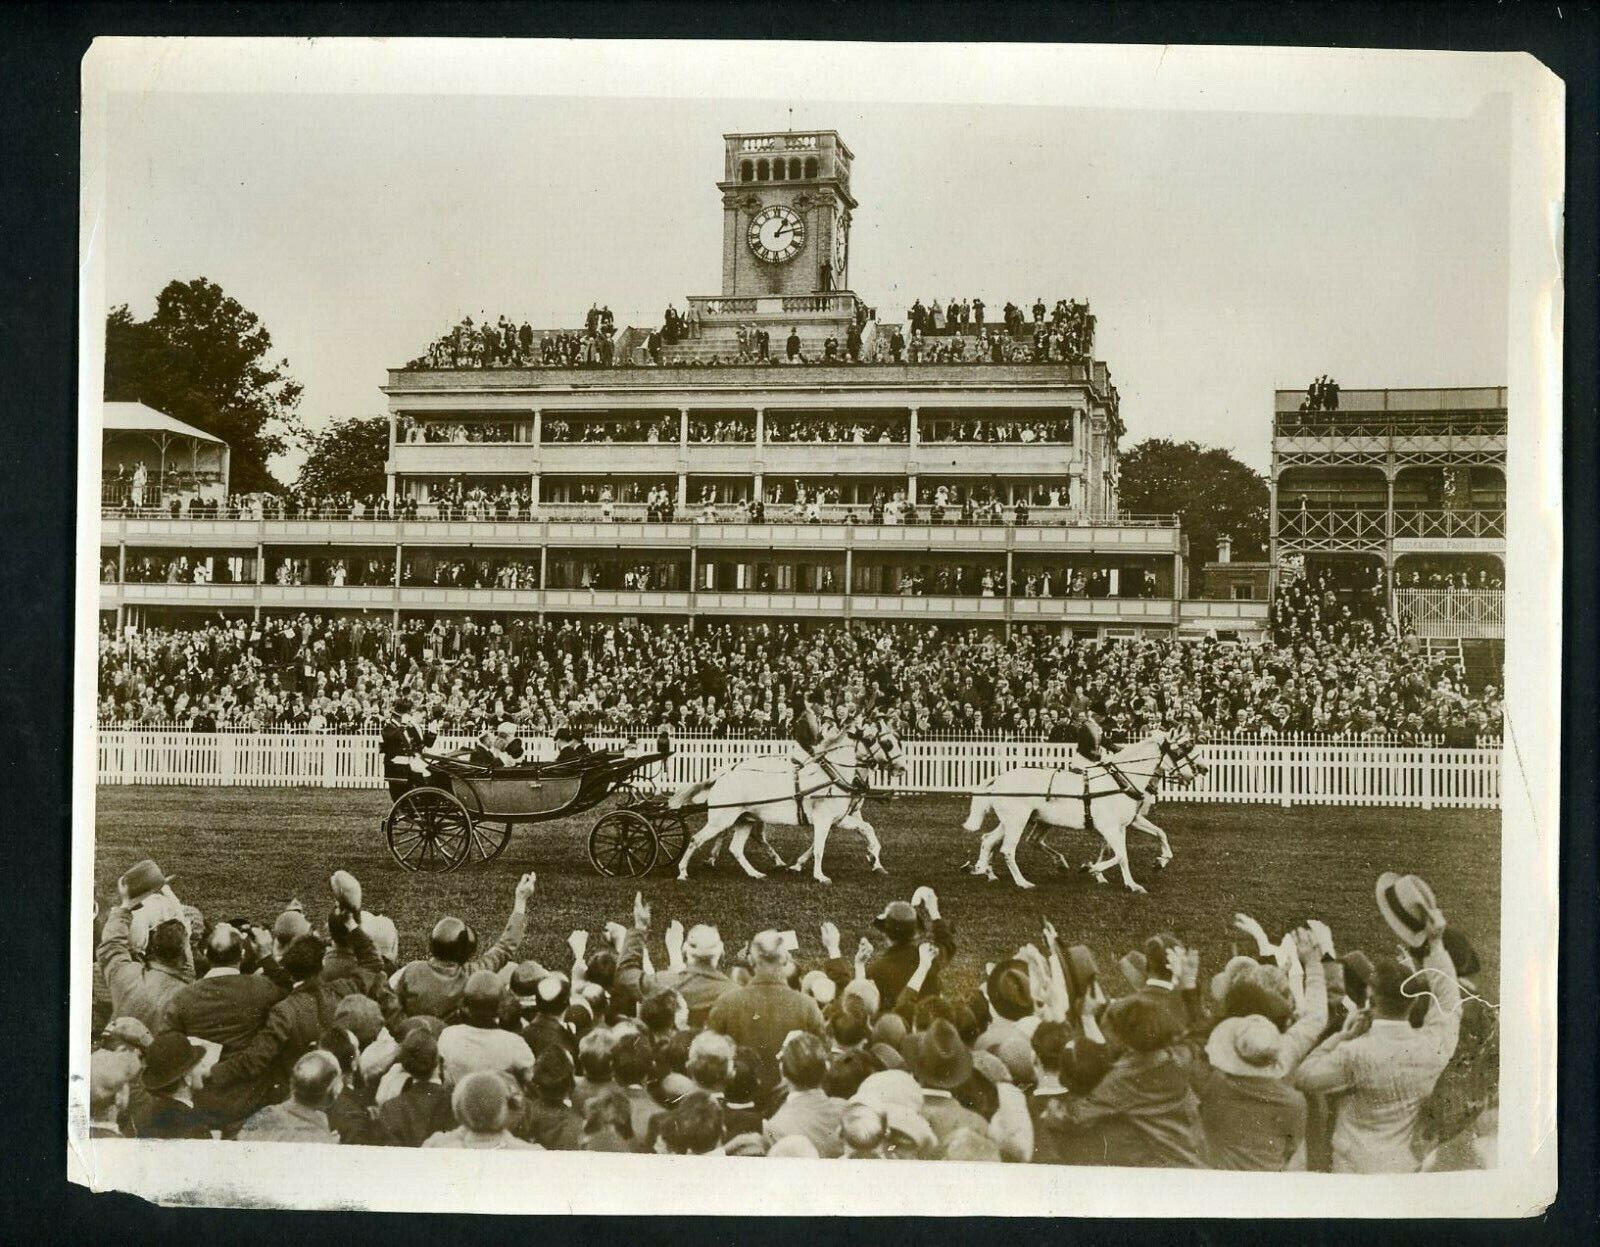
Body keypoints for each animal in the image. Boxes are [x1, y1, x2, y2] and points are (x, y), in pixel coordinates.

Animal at [668, 720, 908, 890]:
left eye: (898, 740)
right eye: (886, 743)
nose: (902, 768)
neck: (832, 777)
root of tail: (725, 774)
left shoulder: (839, 819)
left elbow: (866, 829)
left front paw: (875, 859)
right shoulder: (823, 820)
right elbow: (820, 847)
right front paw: (820, 876)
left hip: (744, 820)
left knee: (736, 848)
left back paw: (755, 873)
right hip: (721, 819)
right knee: (696, 839)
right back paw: (683, 872)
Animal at [960, 726, 1203, 890]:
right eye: (1183, 749)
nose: (1201, 770)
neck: (1120, 780)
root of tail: (999, 779)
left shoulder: (1123, 825)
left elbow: (1147, 840)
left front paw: (1148, 870)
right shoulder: (1110, 827)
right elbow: (1121, 855)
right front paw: (1099, 871)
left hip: (1014, 821)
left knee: (989, 840)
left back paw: (984, 870)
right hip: (1017, 821)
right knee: (1007, 849)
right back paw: (1022, 882)